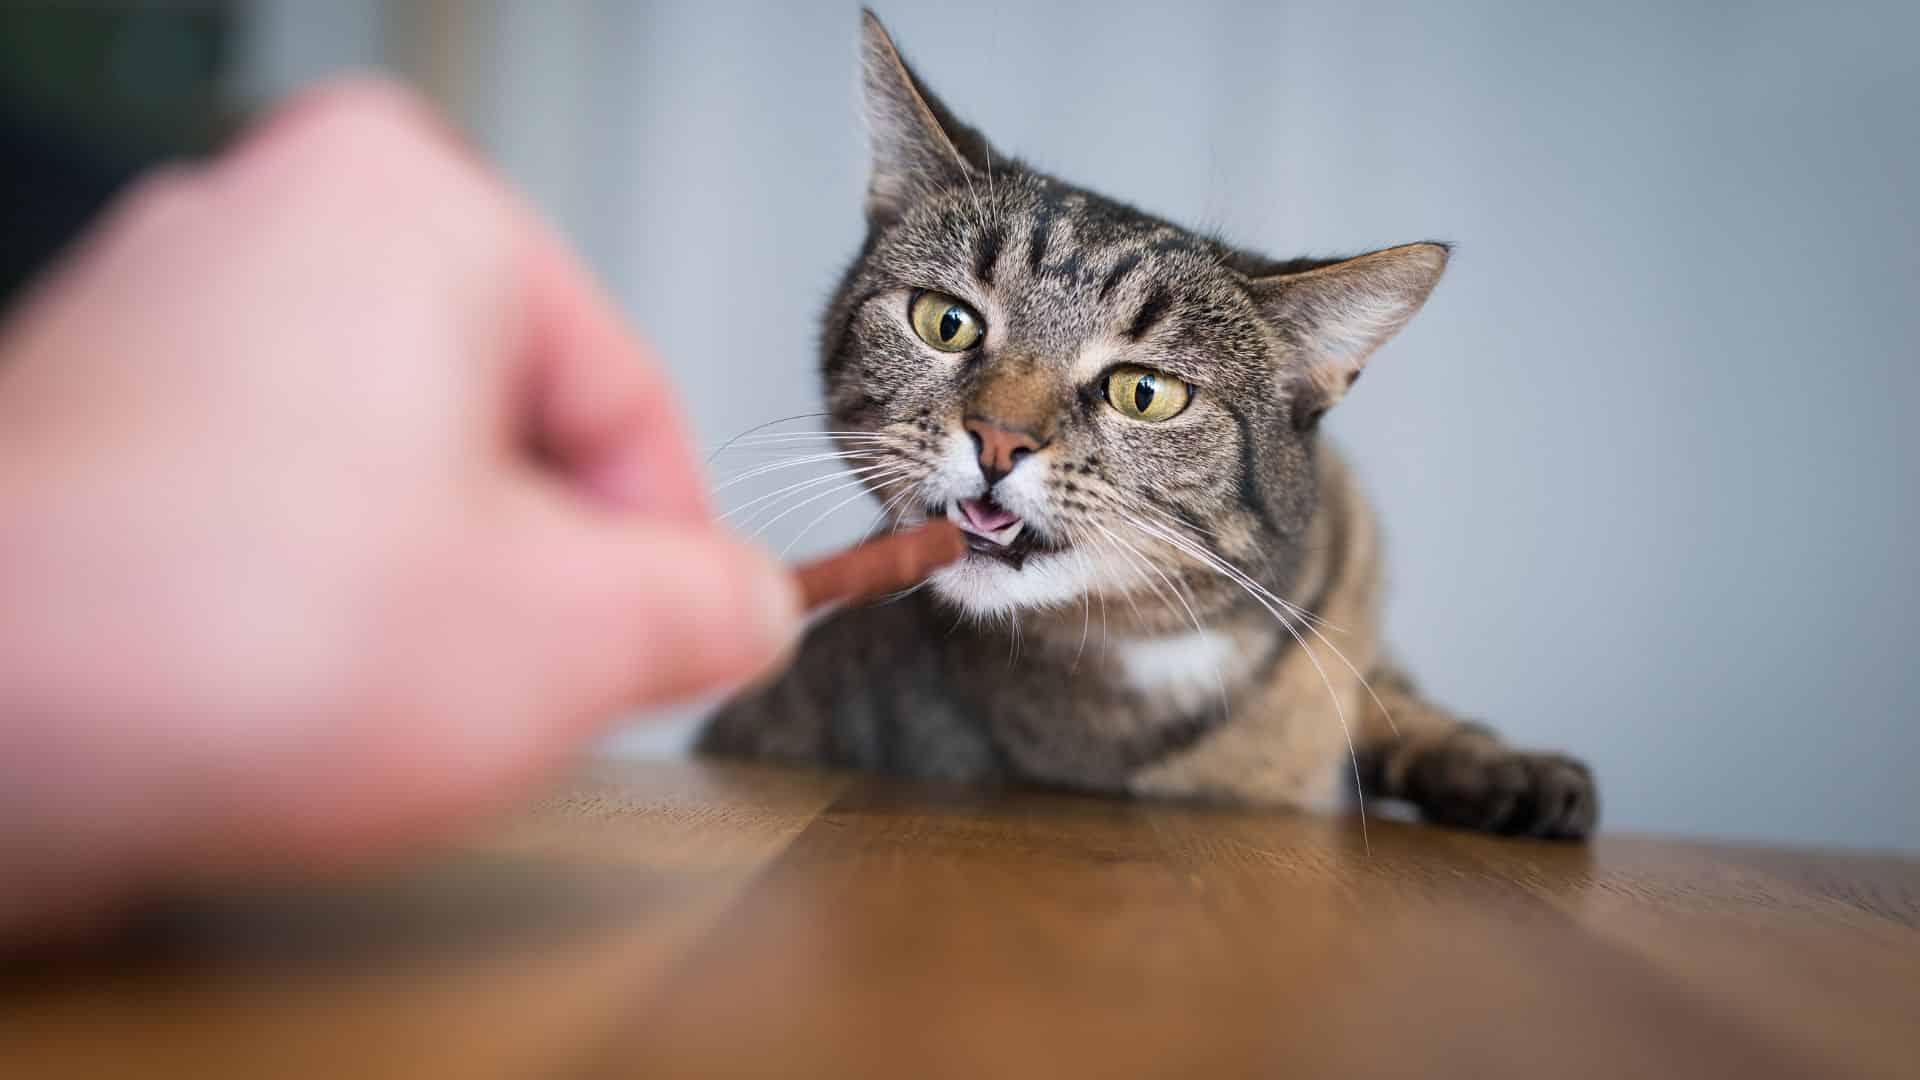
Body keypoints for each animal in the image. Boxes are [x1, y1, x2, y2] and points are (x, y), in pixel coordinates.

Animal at [698, 10, 1597, 841]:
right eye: (946, 322)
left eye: (1144, 393)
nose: (998, 438)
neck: (1161, 648)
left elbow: (1392, 702)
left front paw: (1506, 768)